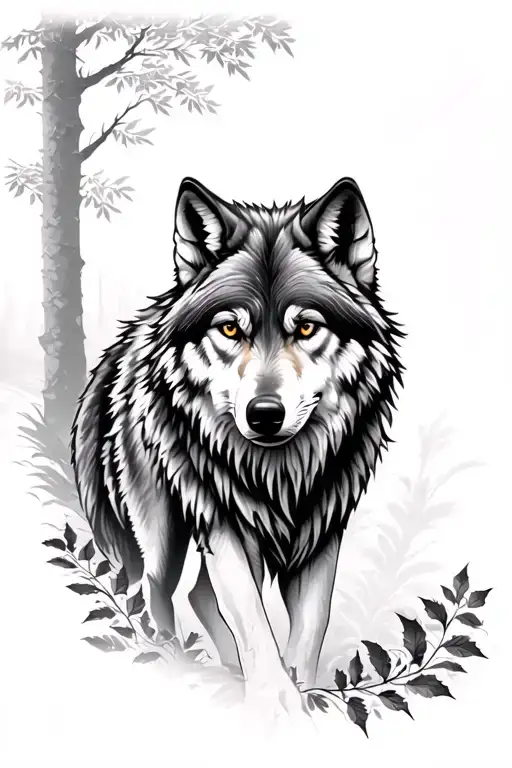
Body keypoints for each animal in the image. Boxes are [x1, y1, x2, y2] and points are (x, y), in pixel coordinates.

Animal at [71, 176, 403, 719]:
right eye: (230, 328)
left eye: (306, 327)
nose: (264, 414)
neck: (279, 472)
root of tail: (122, 348)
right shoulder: (221, 522)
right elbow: (252, 618)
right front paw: (275, 701)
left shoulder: (321, 533)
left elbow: (307, 626)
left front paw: (303, 693)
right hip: (163, 535)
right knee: (153, 595)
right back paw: (172, 665)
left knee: (199, 596)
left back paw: (227, 671)